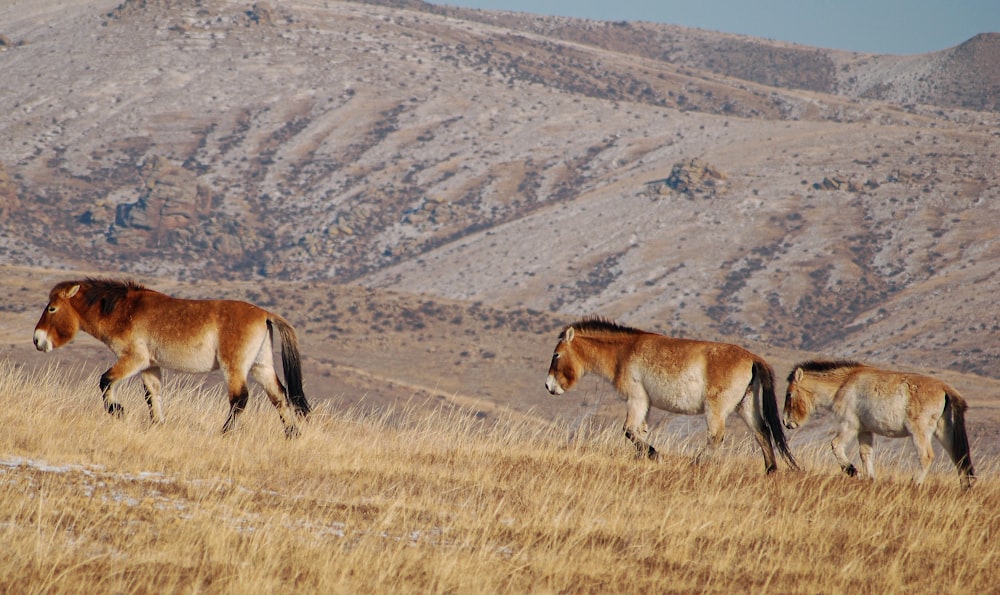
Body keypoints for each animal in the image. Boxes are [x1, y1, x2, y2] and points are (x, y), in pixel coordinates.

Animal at [33, 280, 310, 438]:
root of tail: (265, 314)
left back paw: (224, 433)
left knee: (240, 398)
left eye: (52, 308)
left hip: (235, 368)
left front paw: (117, 410)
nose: (37, 340)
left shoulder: (134, 359)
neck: (125, 311)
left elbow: (105, 380)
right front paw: (157, 425)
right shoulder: (150, 366)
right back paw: (292, 434)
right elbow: (152, 396)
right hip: (261, 366)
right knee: (279, 396)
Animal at [548, 318, 796, 478]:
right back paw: (770, 470)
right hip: (745, 406)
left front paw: (654, 455)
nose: (549, 385)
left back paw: (695, 463)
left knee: (716, 436)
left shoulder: (637, 399)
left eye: (556, 354)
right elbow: (639, 432)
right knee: (761, 431)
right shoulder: (645, 404)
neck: (624, 351)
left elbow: (628, 430)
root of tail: (752, 358)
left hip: (716, 409)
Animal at [784, 360, 972, 486]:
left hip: (920, 433)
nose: (787, 422)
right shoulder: (864, 430)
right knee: (958, 457)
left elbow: (836, 445)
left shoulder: (849, 425)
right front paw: (869, 478)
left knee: (926, 457)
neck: (843, 384)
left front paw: (854, 471)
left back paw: (914, 483)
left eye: (789, 394)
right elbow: (865, 453)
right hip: (944, 432)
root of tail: (945, 389)